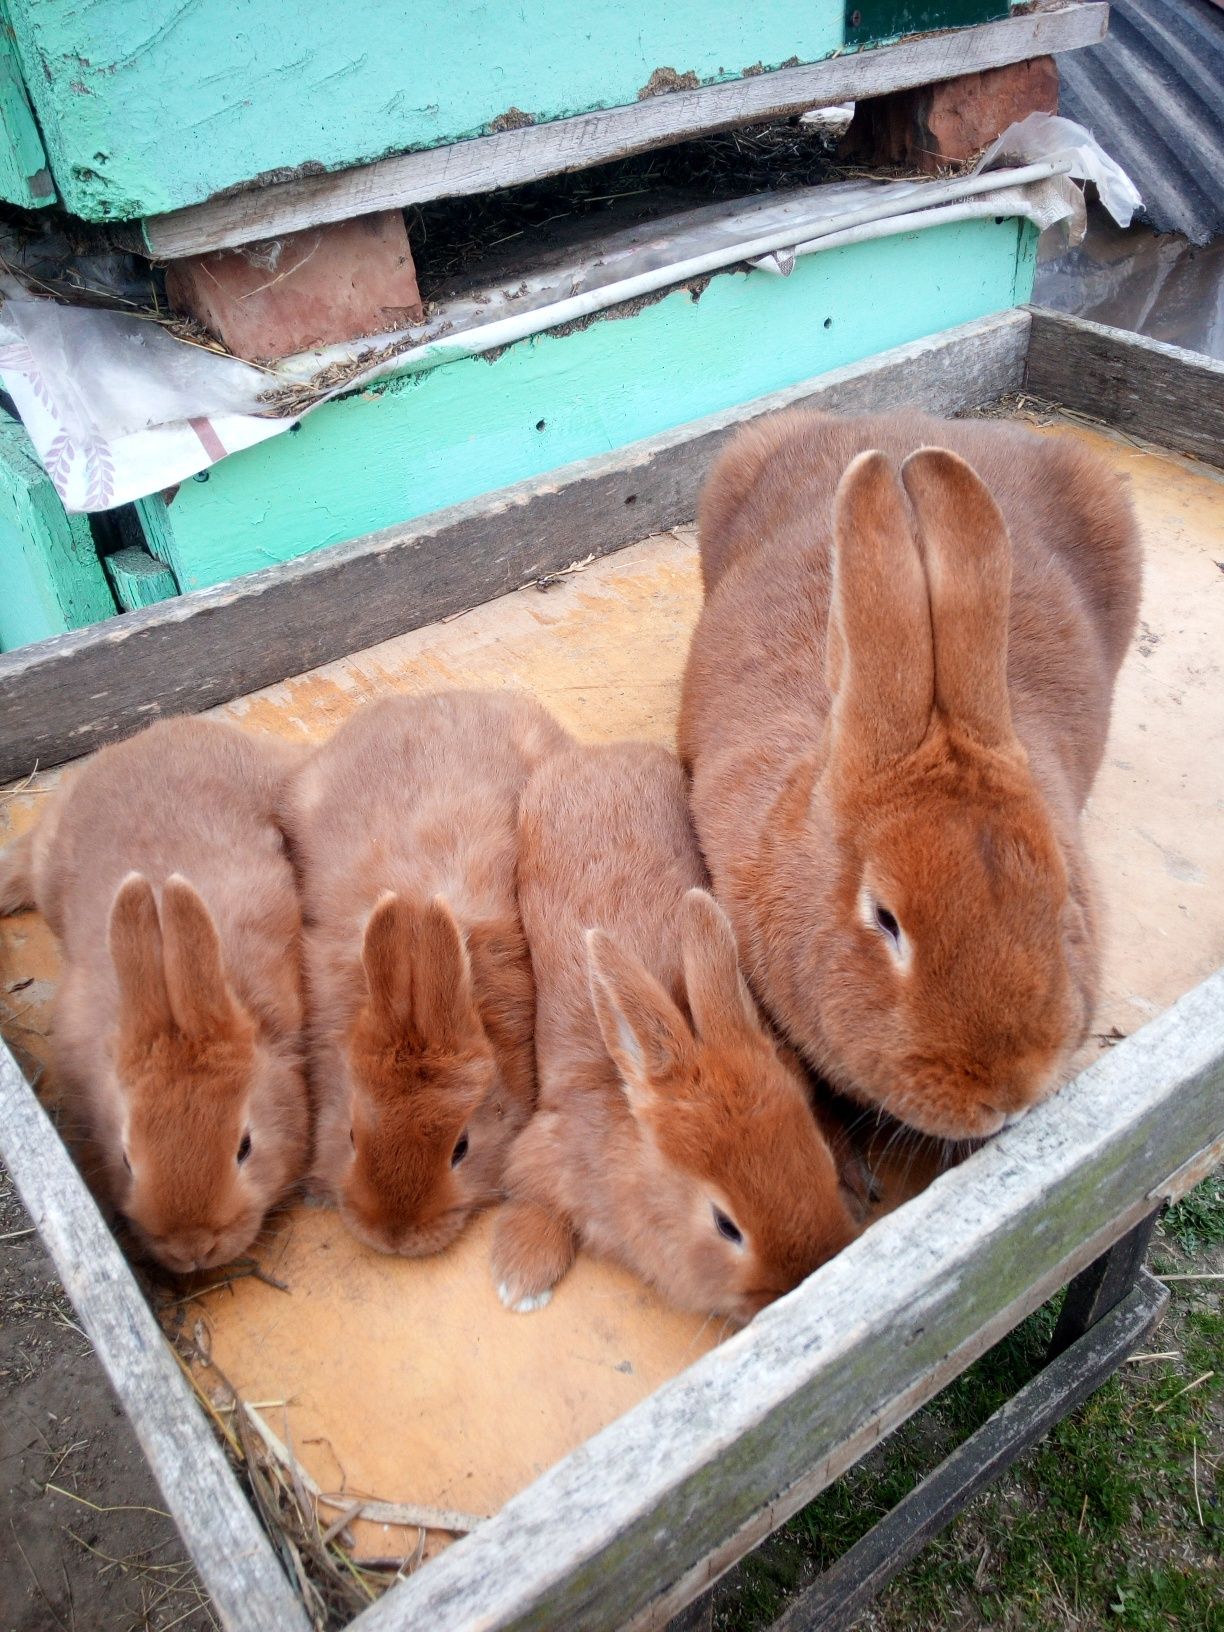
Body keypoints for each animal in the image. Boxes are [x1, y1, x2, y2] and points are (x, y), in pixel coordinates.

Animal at [492, 740, 855, 1325]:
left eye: (821, 1158)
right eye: (725, 1225)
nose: (800, 1281)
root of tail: (604, 756)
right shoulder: (548, 1152)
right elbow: (533, 1197)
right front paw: (520, 1280)